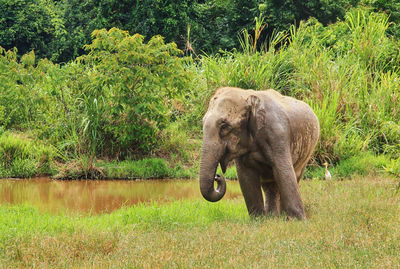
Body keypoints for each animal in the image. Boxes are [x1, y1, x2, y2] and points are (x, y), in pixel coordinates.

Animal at [199, 87, 318, 219]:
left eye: (225, 126)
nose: (217, 176)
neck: (247, 95)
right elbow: (246, 176)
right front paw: (258, 219)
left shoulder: (277, 134)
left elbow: (284, 172)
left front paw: (298, 220)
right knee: (270, 185)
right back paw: (272, 217)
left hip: (307, 154)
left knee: (294, 176)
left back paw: (281, 216)